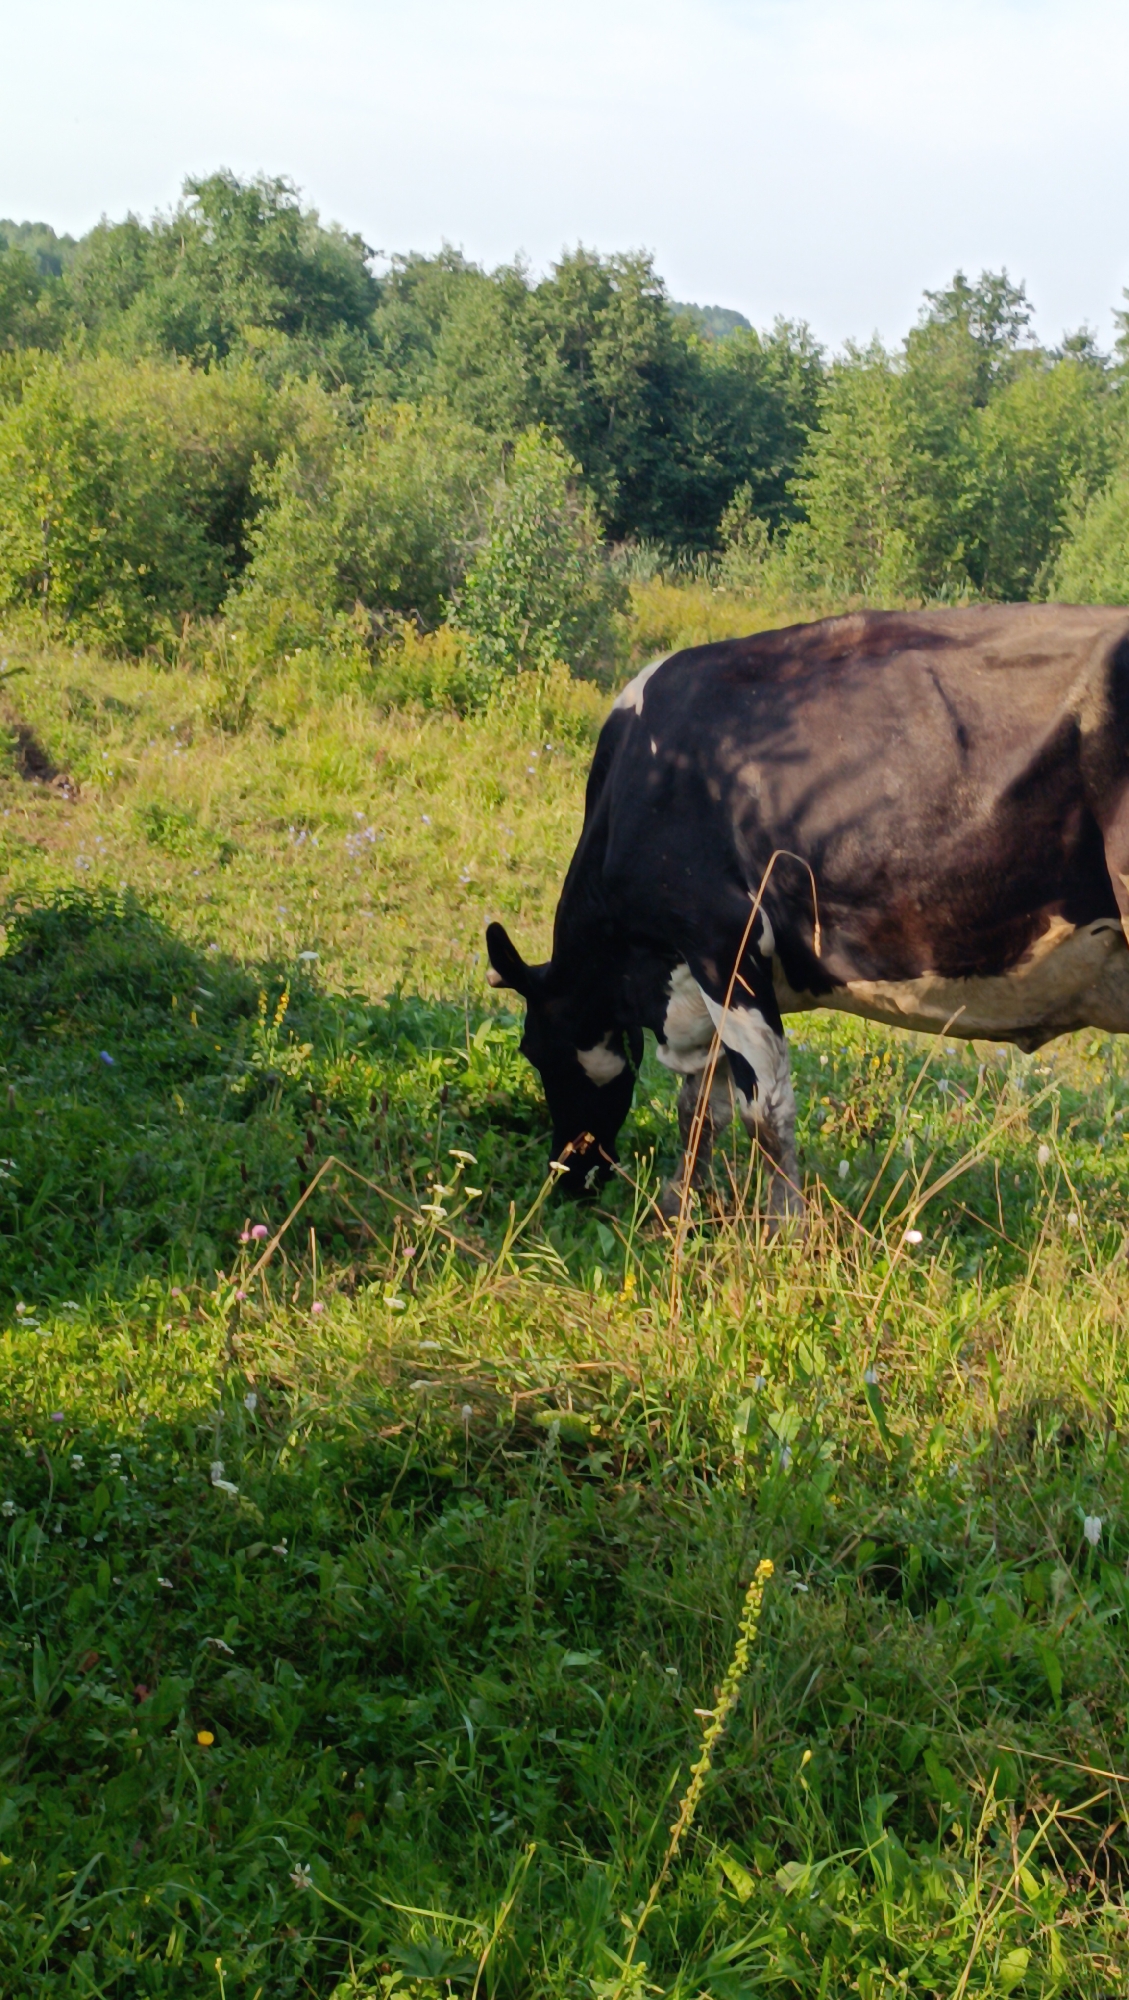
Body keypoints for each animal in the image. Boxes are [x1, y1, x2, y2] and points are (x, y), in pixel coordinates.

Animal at [485, 605, 1129, 1221]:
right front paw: (679, 1207)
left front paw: (786, 1227)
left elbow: (763, 1110)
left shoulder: (723, 943)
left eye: (533, 1051)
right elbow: (700, 1105)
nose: (569, 1176)